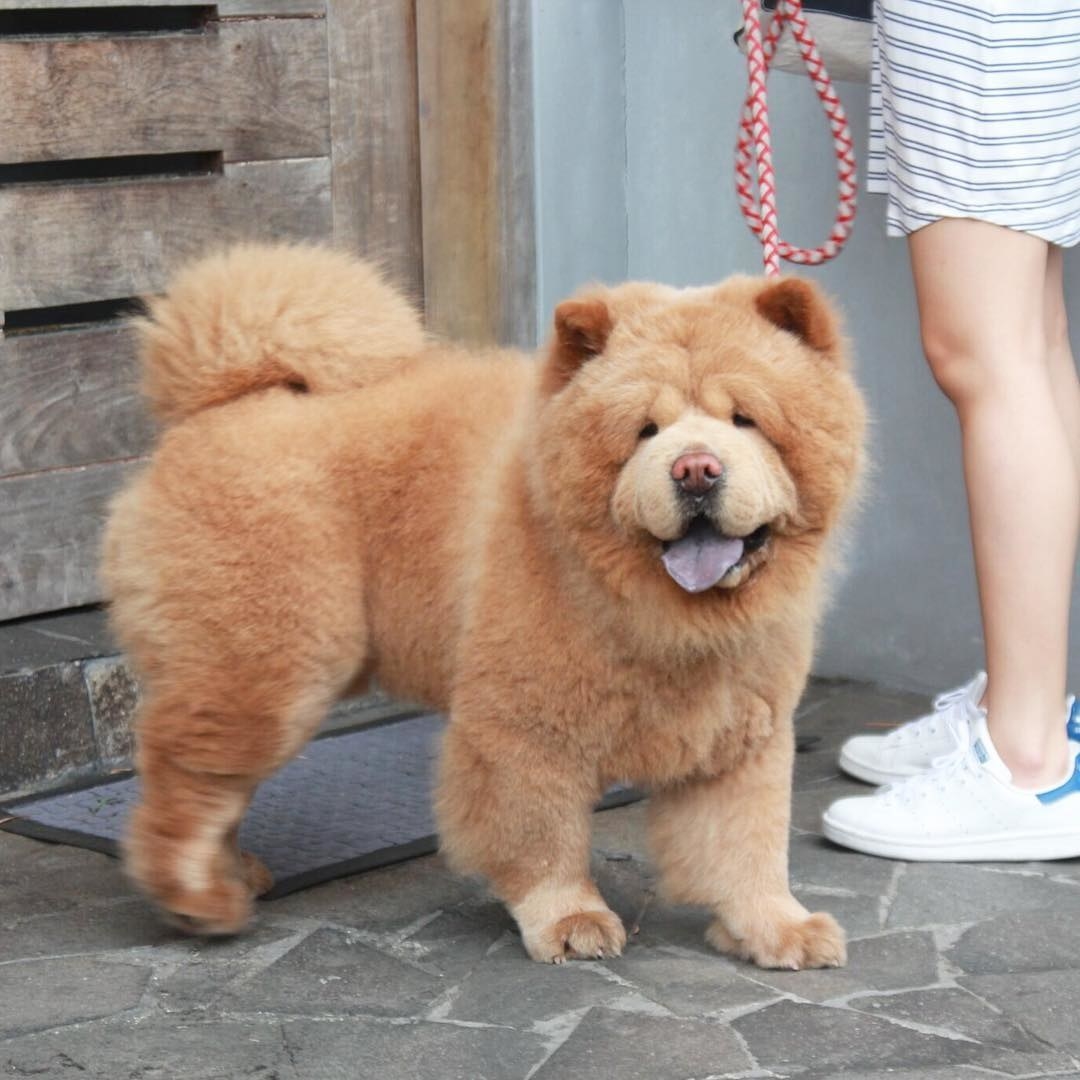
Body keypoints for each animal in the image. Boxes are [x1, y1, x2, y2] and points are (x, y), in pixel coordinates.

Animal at [101, 245, 859, 972]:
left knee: (216, 782)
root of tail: (219, 404)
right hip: (268, 665)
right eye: (644, 431)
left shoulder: (741, 731)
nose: (696, 469)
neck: (661, 612)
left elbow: (745, 843)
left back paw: (235, 874)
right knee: (190, 776)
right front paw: (570, 921)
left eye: (746, 420)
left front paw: (776, 928)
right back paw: (197, 896)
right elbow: (541, 834)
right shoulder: (523, 725)